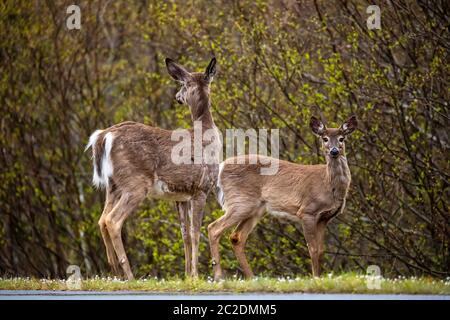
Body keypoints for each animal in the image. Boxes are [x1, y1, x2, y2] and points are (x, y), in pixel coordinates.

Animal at [85, 57, 221, 280]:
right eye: (182, 84)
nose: (177, 97)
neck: (207, 134)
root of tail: (104, 136)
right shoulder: (201, 188)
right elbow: (195, 233)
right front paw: (195, 274)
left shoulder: (181, 197)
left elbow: (184, 235)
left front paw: (187, 275)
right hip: (136, 183)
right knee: (113, 220)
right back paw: (129, 275)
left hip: (113, 185)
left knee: (102, 219)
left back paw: (115, 272)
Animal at [208, 115, 358, 280]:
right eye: (324, 138)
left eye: (342, 138)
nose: (334, 151)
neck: (328, 184)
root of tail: (220, 167)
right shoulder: (307, 211)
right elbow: (313, 249)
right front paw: (315, 278)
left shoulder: (324, 218)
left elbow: (321, 250)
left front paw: (320, 277)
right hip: (240, 201)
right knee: (213, 228)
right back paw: (219, 276)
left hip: (256, 209)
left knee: (237, 237)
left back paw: (252, 277)